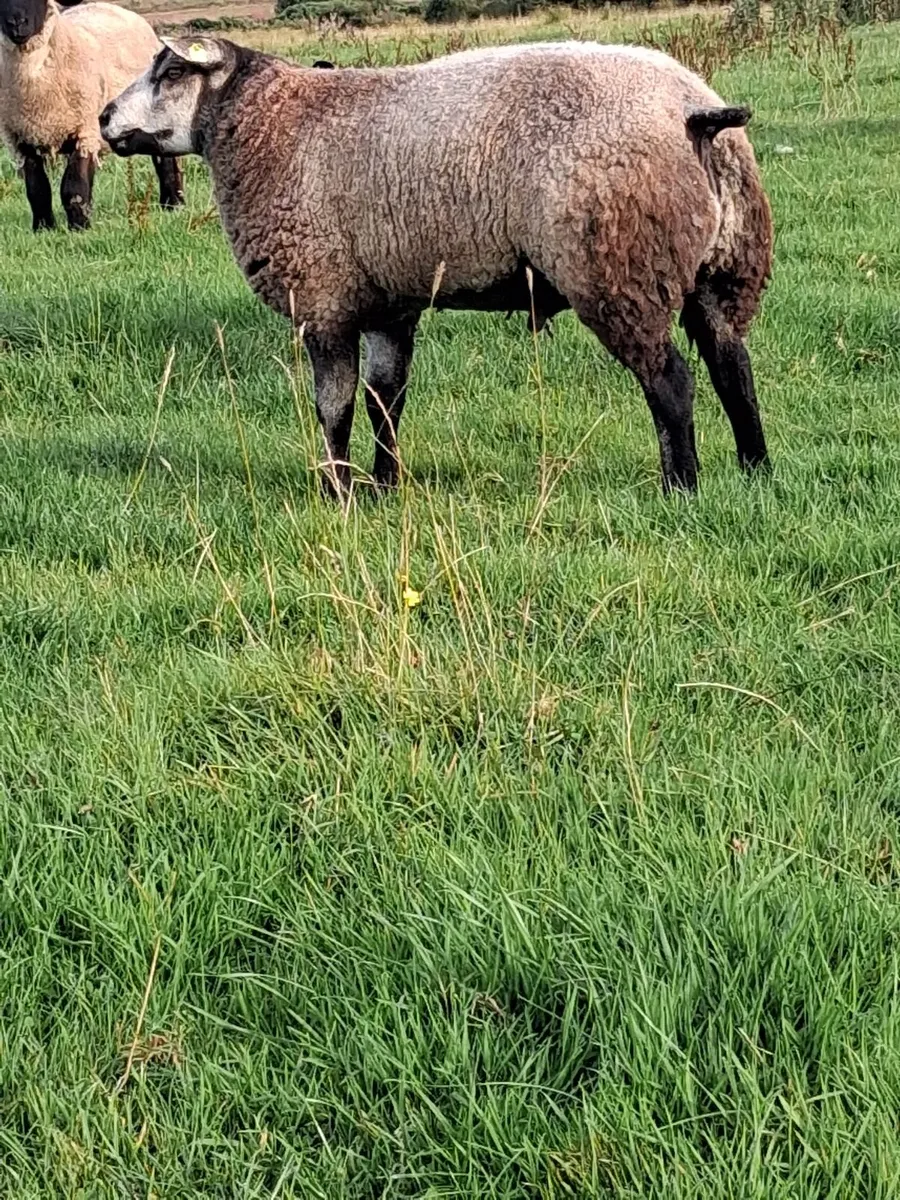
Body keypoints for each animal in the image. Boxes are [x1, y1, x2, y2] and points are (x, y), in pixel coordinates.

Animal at [0, 0, 184, 230]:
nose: (16, 23)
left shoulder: (85, 129)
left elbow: (73, 187)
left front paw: (79, 228)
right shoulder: (21, 139)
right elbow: (37, 189)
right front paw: (43, 228)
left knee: (166, 161)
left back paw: (173, 204)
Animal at [100, 37, 773, 497]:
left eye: (172, 71)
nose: (104, 117)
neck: (268, 124)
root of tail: (694, 112)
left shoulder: (322, 298)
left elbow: (334, 405)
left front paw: (337, 490)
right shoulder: (385, 304)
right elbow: (385, 400)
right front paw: (384, 486)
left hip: (619, 267)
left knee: (671, 382)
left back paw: (681, 487)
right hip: (724, 267)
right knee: (732, 367)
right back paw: (755, 470)